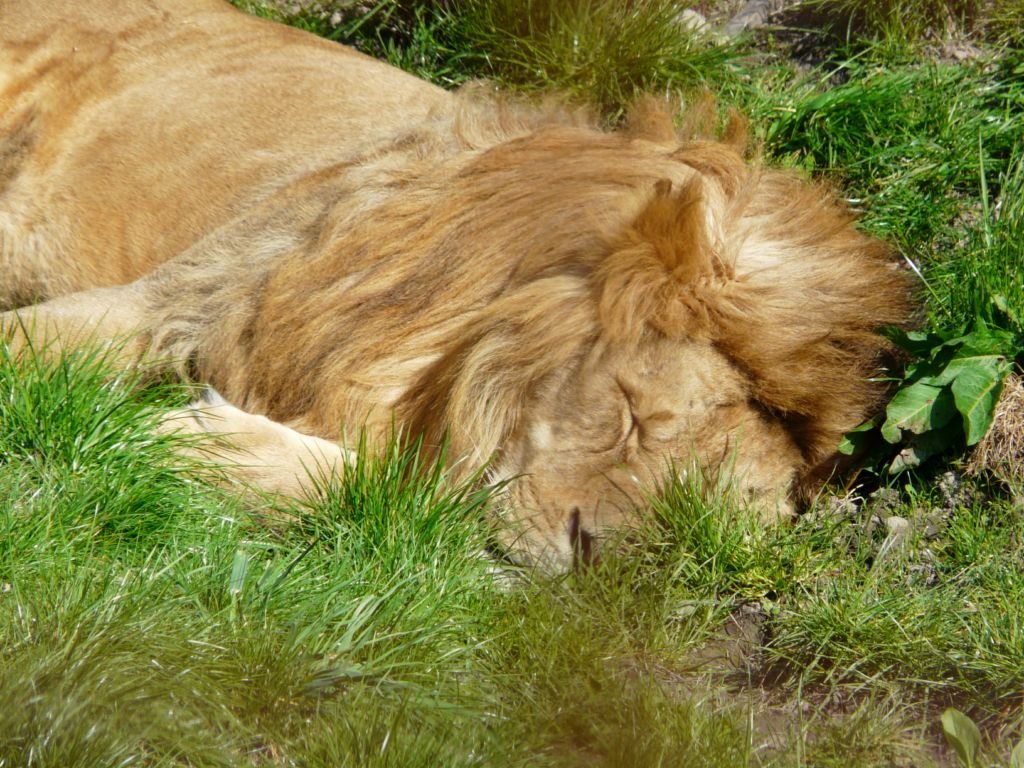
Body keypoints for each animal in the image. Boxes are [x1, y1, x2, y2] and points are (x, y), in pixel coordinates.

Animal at [2, 0, 913, 565]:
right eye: (627, 417)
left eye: (685, 521)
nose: (588, 555)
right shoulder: (175, 302)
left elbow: (404, 499)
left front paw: (195, 444)